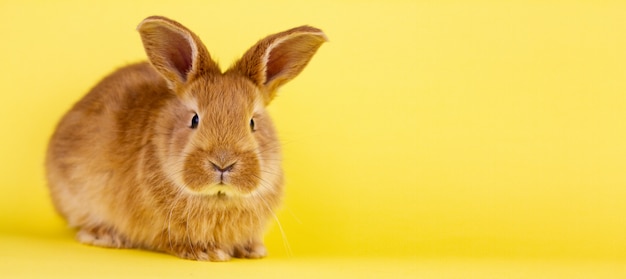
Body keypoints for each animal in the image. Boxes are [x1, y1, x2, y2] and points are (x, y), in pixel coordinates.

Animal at [45, 15, 326, 262]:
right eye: (194, 119)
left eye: (252, 122)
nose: (222, 163)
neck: (218, 199)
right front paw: (208, 253)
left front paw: (253, 250)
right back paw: (104, 236)